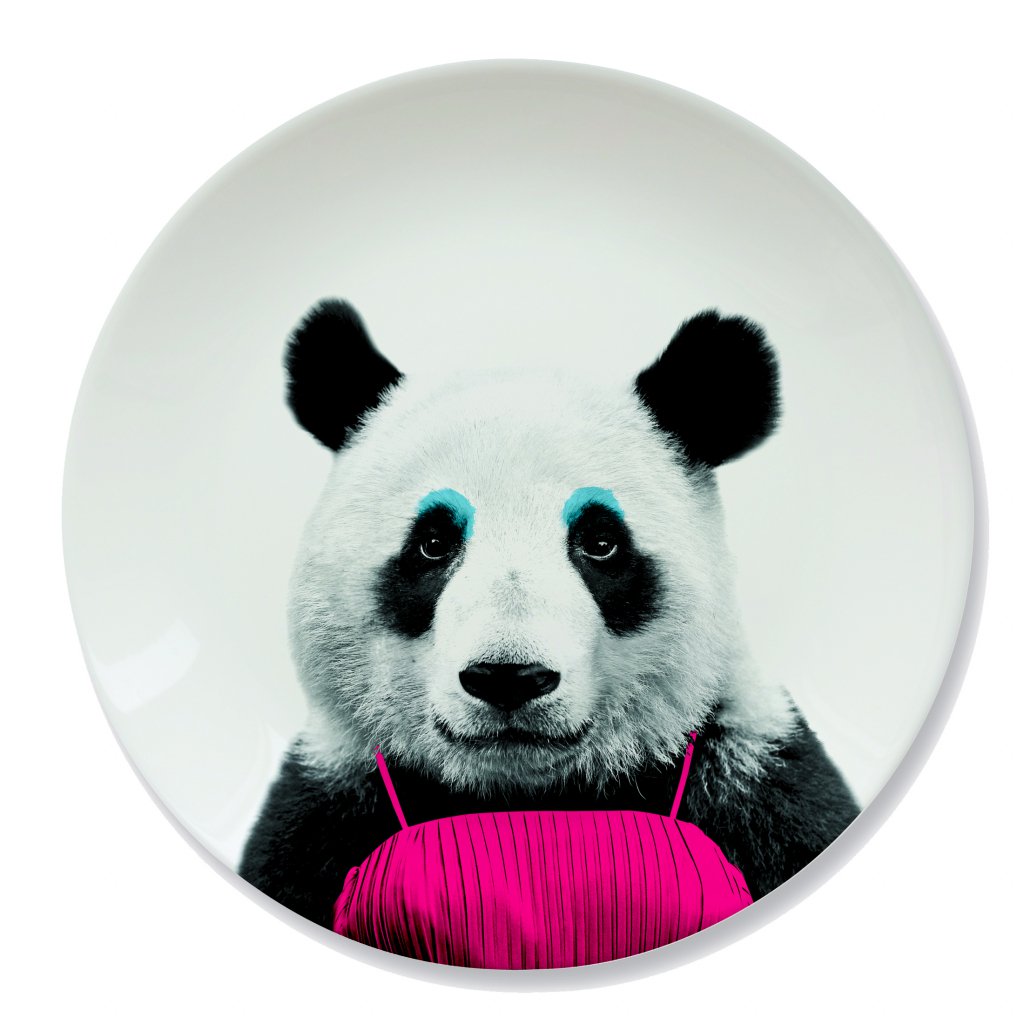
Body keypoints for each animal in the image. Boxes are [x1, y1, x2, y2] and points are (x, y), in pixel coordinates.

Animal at [239, 298, 859, 935]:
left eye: (601, 542)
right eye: (433, 543)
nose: (508, 677)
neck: (534, 794)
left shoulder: (751, 785)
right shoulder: (330, 813)